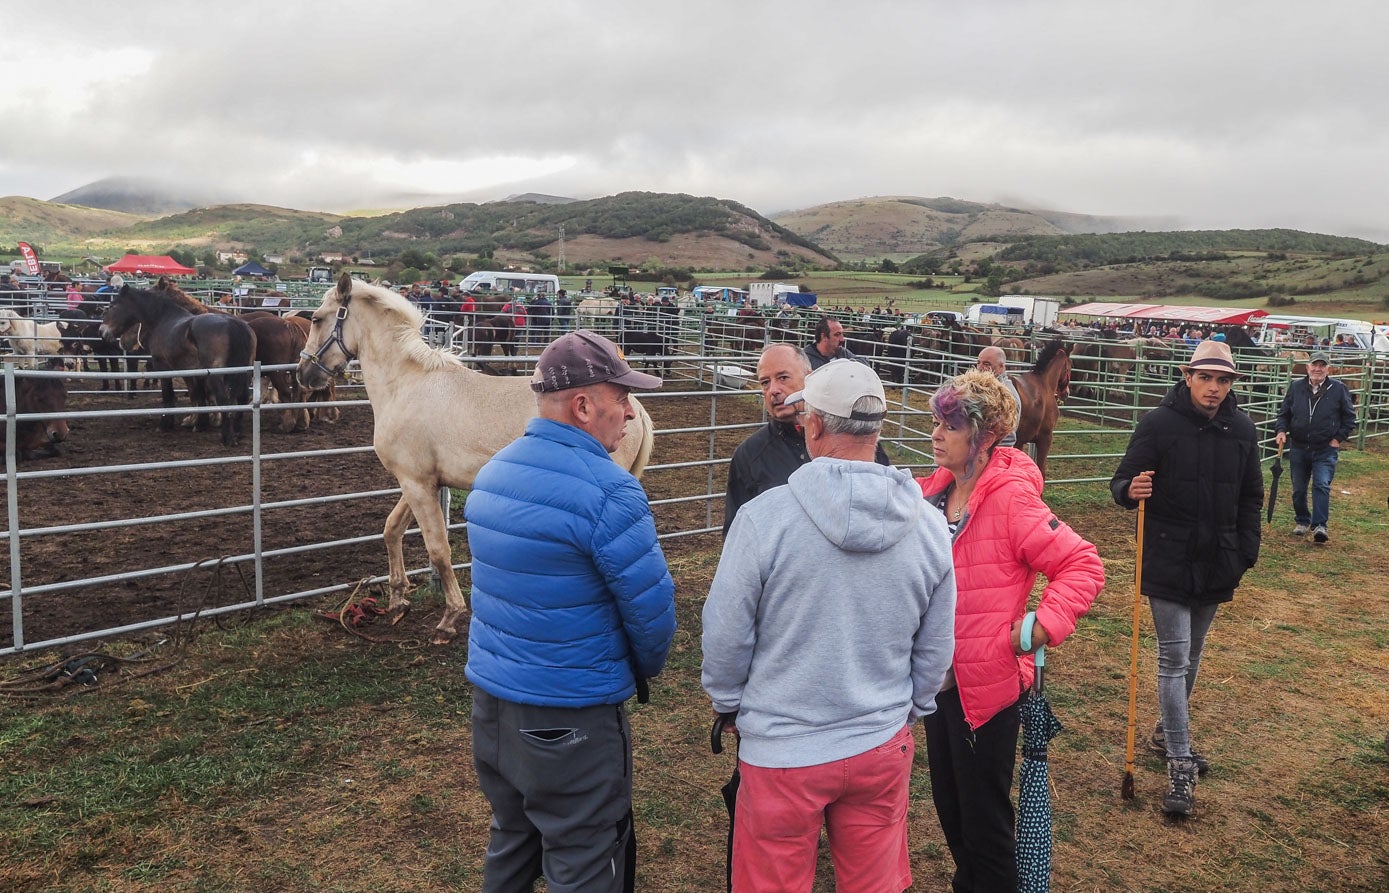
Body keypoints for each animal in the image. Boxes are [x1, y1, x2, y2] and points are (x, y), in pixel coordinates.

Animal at [101, 286, 261, 447]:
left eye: (112, 306)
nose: (102, 330)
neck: (164, 319)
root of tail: (234, 324)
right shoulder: (196, 372)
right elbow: (199, 396)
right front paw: (200, 424)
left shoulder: (162, 366)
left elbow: (168, 394)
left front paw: (165, 424)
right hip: (245, 373)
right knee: (242, 397)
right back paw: (237, 432)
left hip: (217, 376)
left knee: (224, 400)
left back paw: (228, 438)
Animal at [294, 276, 661, 647]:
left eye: (317, 319)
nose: (303, 374)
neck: (406, 385)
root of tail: (634, 409)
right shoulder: (418, 482)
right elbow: (391, 529)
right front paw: (398, 600)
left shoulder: (417, 483)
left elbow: (438, 551)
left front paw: (449, 619)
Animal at [1011, 340, 1072, 483]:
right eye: (1070, 366)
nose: (1066, 393)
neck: (1045, 383)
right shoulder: (1045, 438)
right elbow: (1041, 471)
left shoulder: (1020, 441)